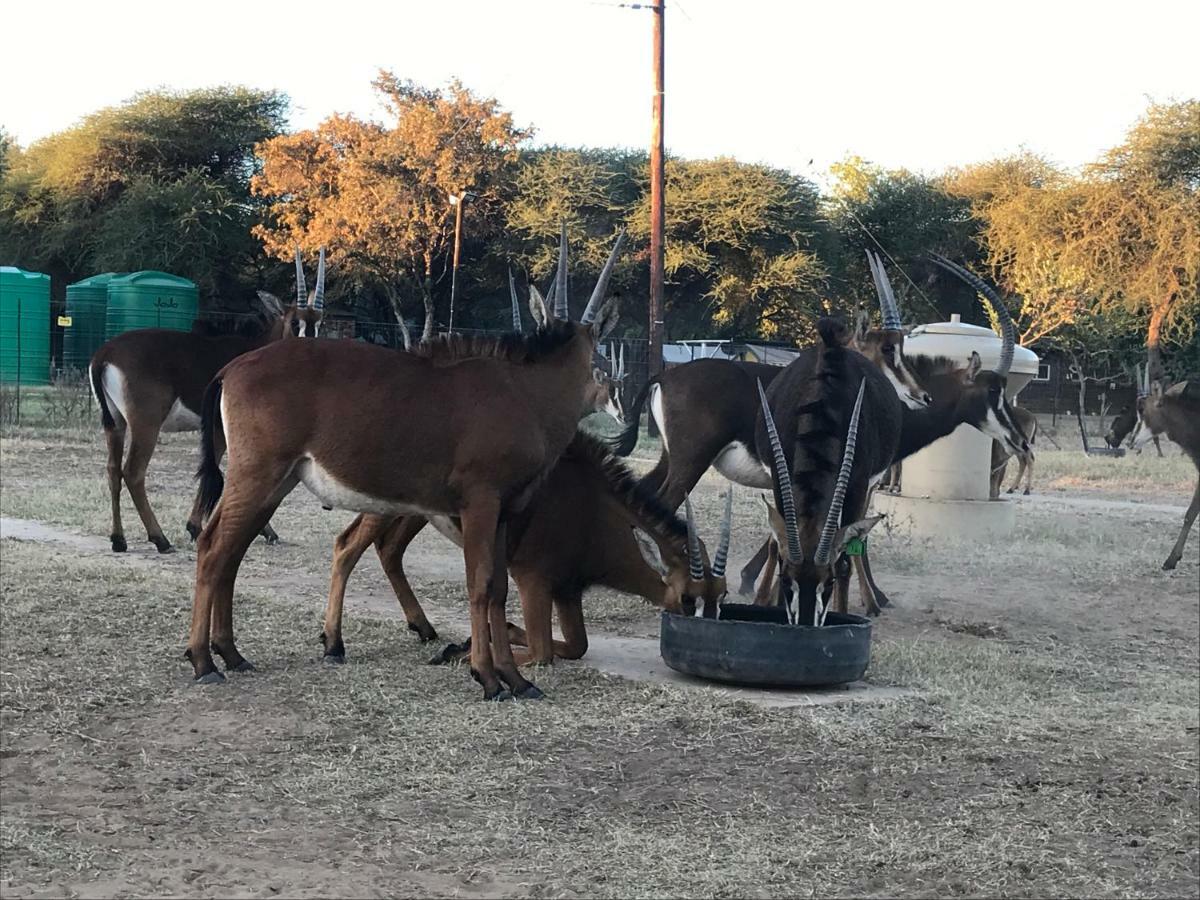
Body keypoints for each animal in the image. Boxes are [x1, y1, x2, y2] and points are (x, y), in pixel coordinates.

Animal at [88, 248, 326, 556]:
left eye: (318, 322)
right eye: (294, 322)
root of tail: (105, 353)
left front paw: (196, 527)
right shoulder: (224, 428)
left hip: (115, 422)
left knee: (113, 470)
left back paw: (119, 539)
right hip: (145, 423)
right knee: (133, 472)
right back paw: (160, 539)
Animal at [184, 232, 628, 696]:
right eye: (598, 363)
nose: (617, 408)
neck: (526, 391)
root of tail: (232, 368)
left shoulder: (504, 512)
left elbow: (500, 588)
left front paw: (516, 679)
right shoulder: (479, 503)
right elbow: (479, 584)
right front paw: (488, 677)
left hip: (276, 482)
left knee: (231, 550)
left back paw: (232, 654)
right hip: (257, 475)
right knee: (213, 548)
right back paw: (204, 661)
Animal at [316, 429, 729, 672]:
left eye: (721, 597)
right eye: (688, 598)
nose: (709, 639)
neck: (592, 510)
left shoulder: (568, 591)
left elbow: (576, 646)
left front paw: (485, 634)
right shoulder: (533, 579)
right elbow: (542, 652)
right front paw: (465, 651)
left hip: (413, 508)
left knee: (389, 549)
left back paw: (423, 626)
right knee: (347, 547)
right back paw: (334, 643)